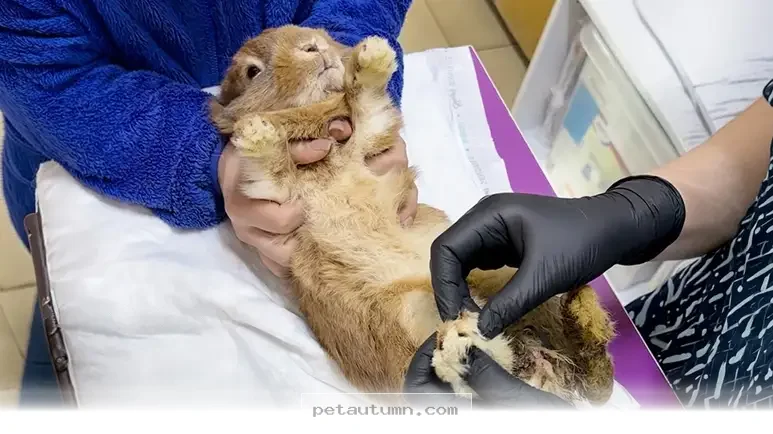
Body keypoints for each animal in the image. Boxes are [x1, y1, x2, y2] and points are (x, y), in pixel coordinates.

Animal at [209, 25, 616, 405]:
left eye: (314, 34)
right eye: (251, 71)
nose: (315, 46)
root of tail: (539, 361)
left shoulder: (366, 138)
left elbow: (367, 104)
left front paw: (373, 55)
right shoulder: (278, 191)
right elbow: (272, 165)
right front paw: (257, 131)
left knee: (588, 360)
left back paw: (577, 311)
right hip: (412, 315)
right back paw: (470, 342)